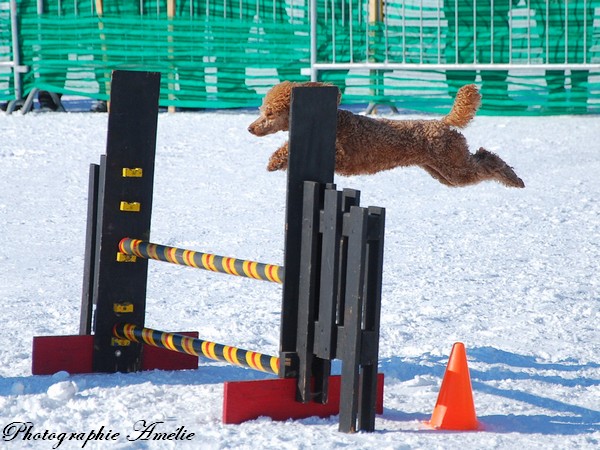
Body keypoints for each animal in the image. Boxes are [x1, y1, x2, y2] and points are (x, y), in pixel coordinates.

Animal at [246, 80, 524, 186]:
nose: (250, 128)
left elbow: (287, 148)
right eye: (262, 110)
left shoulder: (342, 154)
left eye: (269, 113)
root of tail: (441, 123)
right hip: (441, 171)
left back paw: (513, 179)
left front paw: (275, 160)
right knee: (482, 156)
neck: (337, 120)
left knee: (487, 161)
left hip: (454, 168)